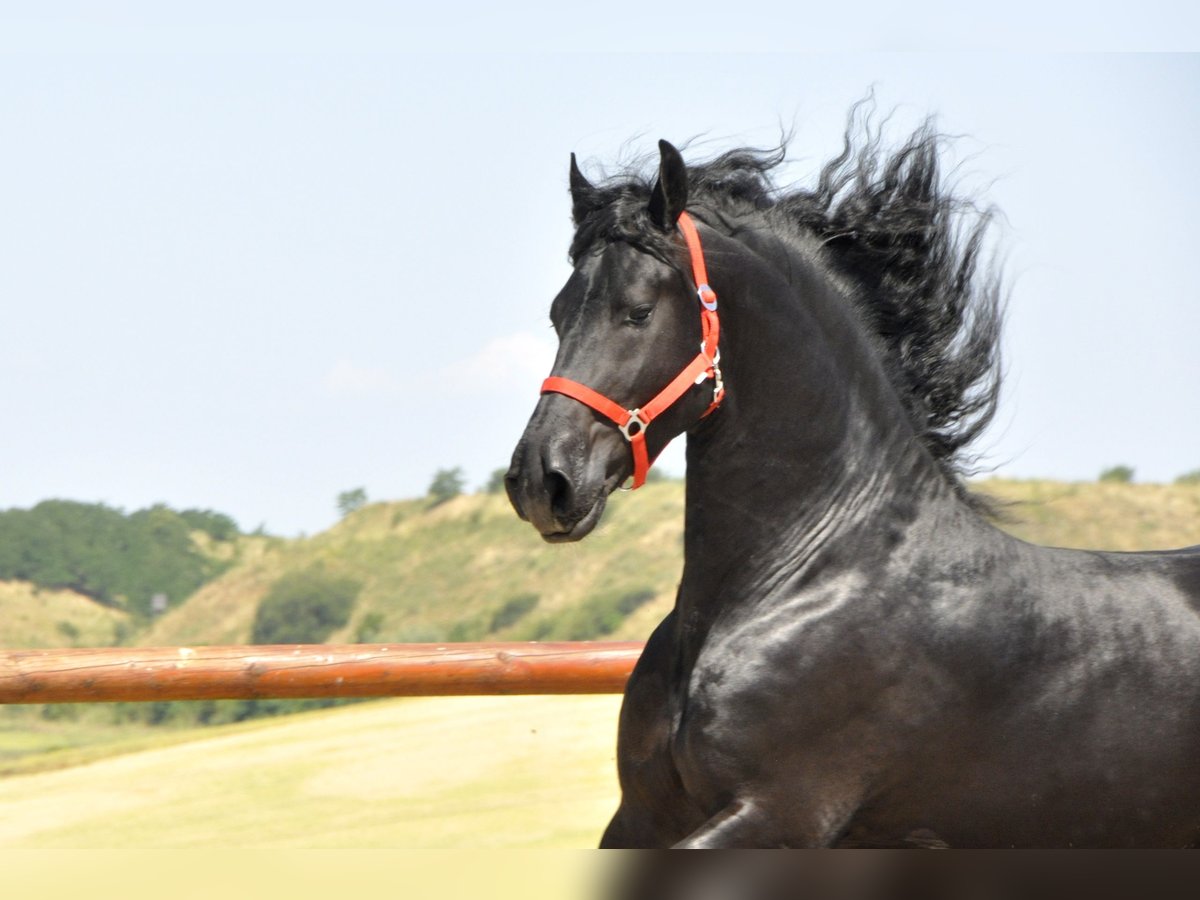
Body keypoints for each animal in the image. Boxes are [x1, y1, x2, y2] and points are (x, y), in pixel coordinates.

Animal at [506, 116, 1200, 849]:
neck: (809, 576)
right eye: (558, 313)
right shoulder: (640, 816)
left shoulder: (779, 812)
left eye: (636, 311)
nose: (542, 480)